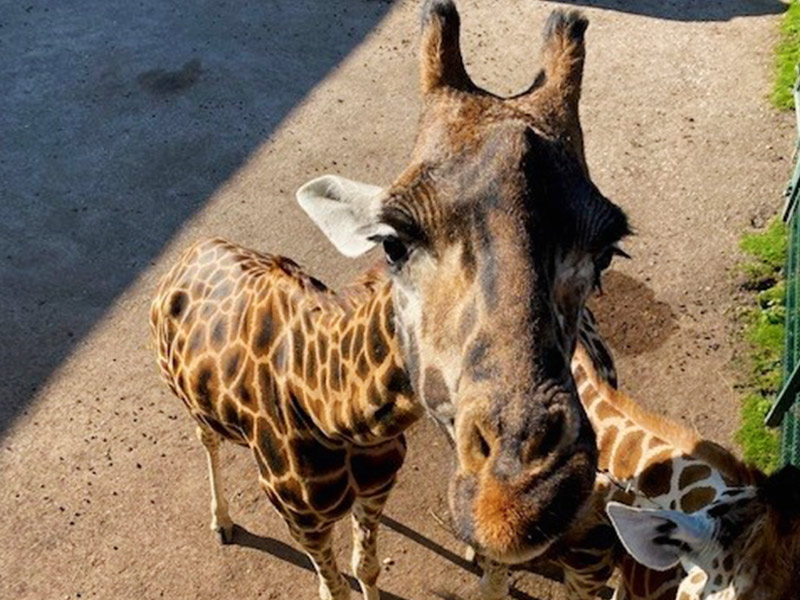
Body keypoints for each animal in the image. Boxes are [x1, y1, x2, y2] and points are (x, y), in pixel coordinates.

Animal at [152, 2, 632, 598]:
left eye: (606, 253)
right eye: (393, 242)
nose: (515, 501)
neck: (333, 412)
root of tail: (195, 246)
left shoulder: (376, 489)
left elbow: (366, 567)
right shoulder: (303, 518)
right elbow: (335, 583)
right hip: (189, 405)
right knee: (208, 441)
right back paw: (221, 523)